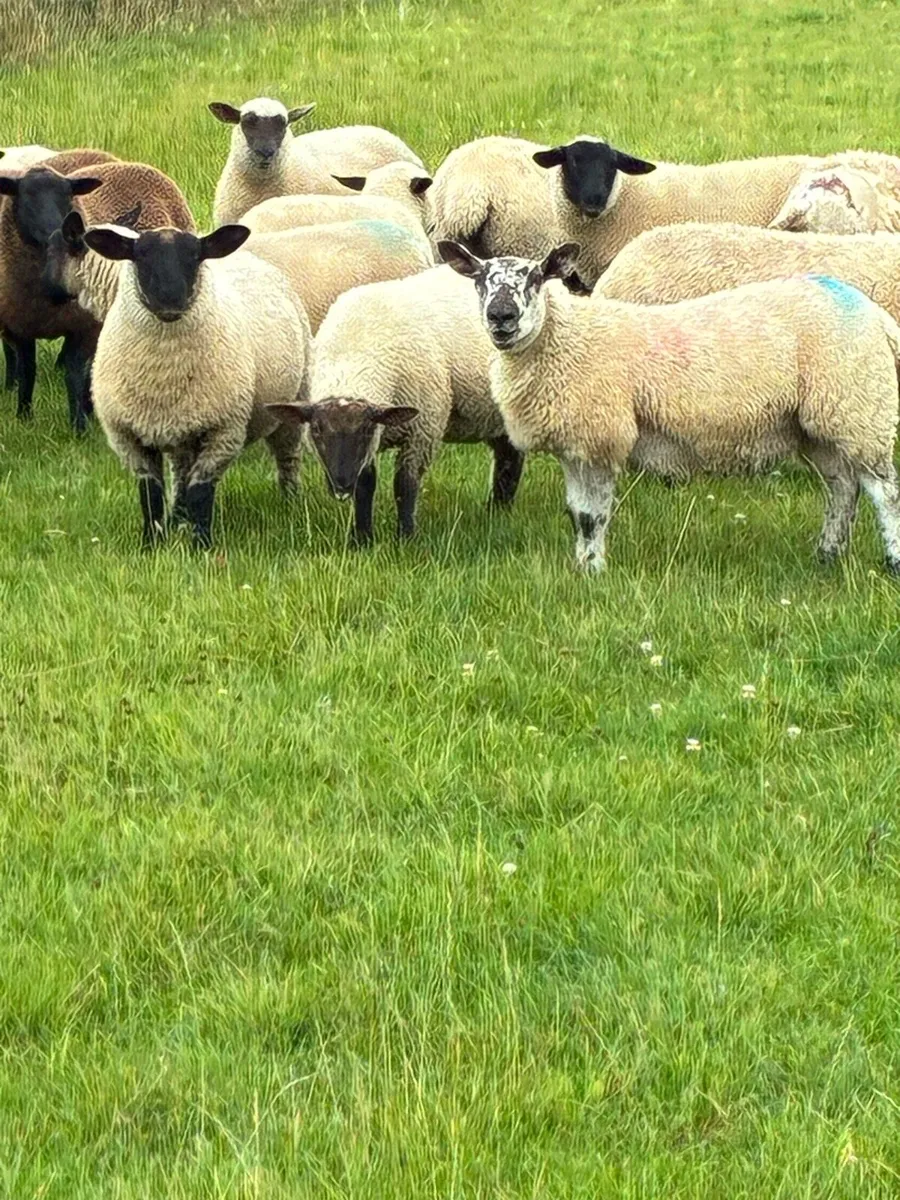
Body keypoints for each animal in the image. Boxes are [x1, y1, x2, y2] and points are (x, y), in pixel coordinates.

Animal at [0, 148, 118, 430]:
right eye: (25, 197)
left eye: (67, 196)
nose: (59, 231)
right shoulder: (22, 324)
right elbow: (27, 369)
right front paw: (24, 416)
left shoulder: (81, 326)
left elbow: (75, 374)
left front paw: (79, 424)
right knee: (10, 353)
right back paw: (9, 387)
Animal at [82, 223, 312, 549]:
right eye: (140, 255)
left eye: (194, 256)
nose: (170, 302)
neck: (164, 377)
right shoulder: (128, 435)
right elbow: (150, 494)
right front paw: (151, 543)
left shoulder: (223, 430)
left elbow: (201, 491)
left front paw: (201, 545)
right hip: (182, 428)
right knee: (180, 474)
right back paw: (178, 517)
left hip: (293, 403)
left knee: (288, 457)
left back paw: (291, 501)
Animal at [265, 265, 521, 544]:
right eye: (317, 430)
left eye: (364, 430)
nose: (341, 486)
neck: (356, 355)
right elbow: (365, 486)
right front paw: (361, 539)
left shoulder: (422, 429)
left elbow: (405, 485)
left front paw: (405, 537)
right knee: (509, 455)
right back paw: (497, 509)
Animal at [440, 240, 900, 575]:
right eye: (479, 279)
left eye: (535, 278)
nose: (501, 315)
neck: (565, 339)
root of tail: (874, 314)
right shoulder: (575, 445)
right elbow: (577, 513)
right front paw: (581, 568)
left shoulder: (602, 436)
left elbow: (593, 516)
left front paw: (594, 571)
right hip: (821, 423)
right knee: (842, 487)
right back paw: (828, 555)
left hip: (860, 408)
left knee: (885, 491)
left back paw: (891, 562)